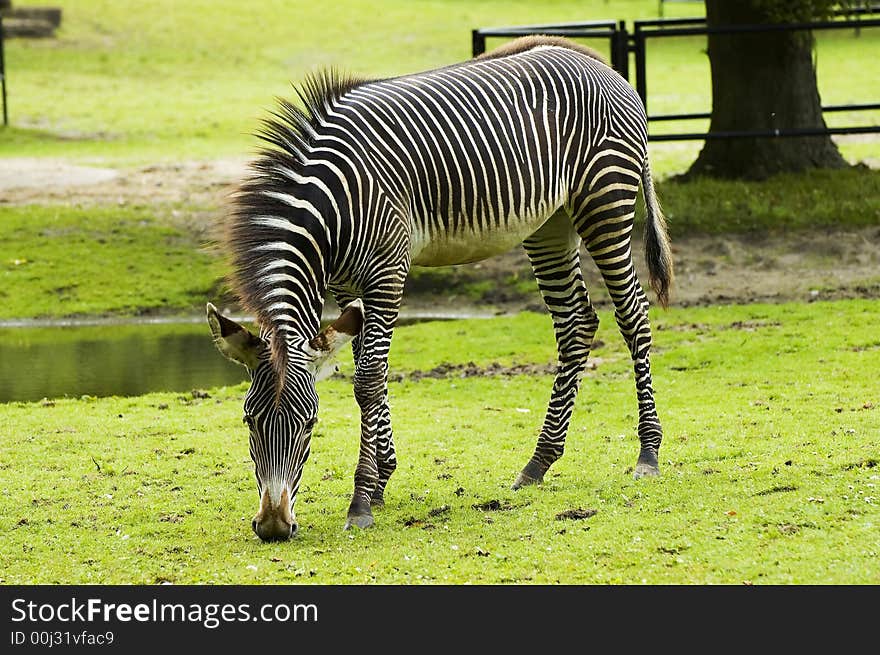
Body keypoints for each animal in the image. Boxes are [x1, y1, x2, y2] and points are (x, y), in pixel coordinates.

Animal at [206, 33, 672, 540]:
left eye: (310, 423)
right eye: (248, 420)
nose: (273, 526)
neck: (333, 205)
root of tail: (597, 62)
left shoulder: (388, 270)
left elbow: (368, 380)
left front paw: (361, 501)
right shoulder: (347, 285)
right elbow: (366, 370)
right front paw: (382, 480)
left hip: (605, 202)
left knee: (633, 316)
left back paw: (648, 453)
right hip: (550, 222)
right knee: (575, 323)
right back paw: (538, 463)